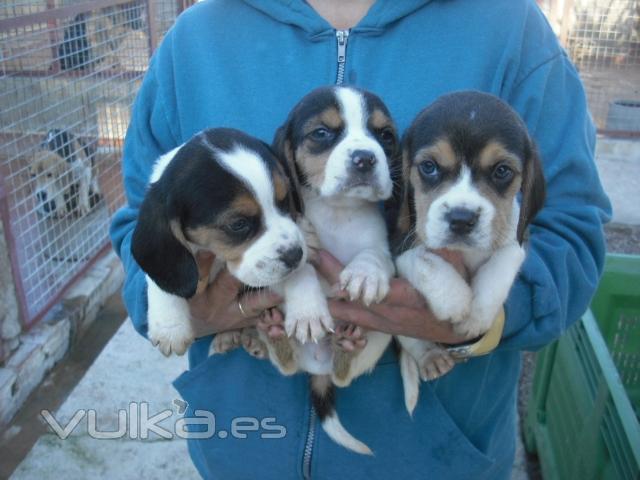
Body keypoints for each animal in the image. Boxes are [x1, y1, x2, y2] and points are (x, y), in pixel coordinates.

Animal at [131, 127, 306, 356]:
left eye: (284, 201)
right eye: (238, 224)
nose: (296, 255)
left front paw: (307, 309)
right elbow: (162, 281)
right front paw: (170, 327)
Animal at [396, 91, 544, 416]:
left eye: (502, 171)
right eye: (429, 166)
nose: (461, 219)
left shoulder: (516, 237)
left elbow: (500, 265)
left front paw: (477, 315)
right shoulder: (398, 246)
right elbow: (425, 259)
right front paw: (456, 301)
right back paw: (430, 357)